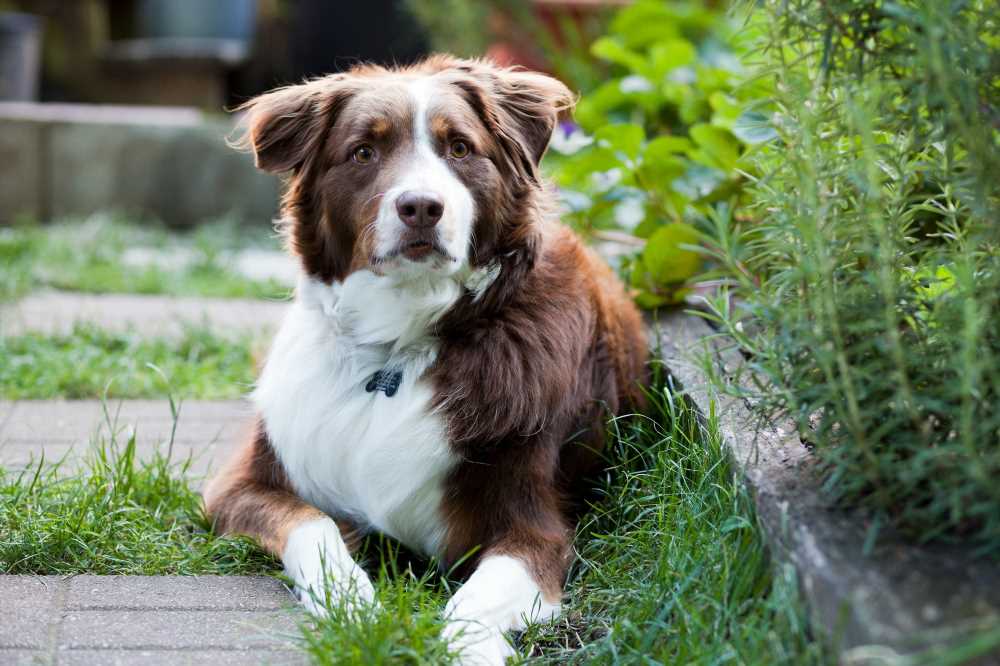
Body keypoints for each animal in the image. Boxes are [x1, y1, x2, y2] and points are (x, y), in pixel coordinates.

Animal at [207, 55, 652, 660]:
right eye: (363, 152)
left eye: (460, 148)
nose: (421, 207)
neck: (397, 344)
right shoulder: (237, 486)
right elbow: (314, 527)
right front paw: (350, 602)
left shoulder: (537, 526)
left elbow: (476, 600)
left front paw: (473, 649)